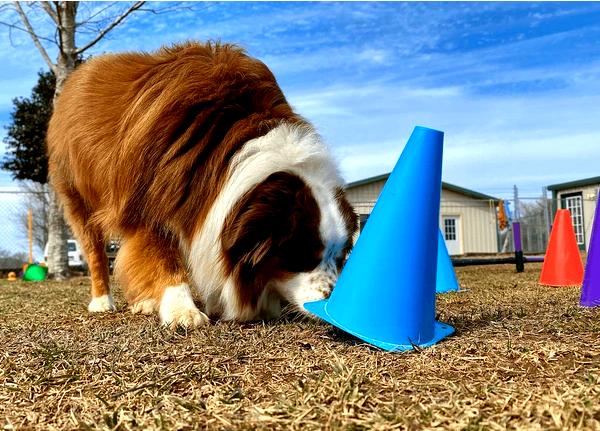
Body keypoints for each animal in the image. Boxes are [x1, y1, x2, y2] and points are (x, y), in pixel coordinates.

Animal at [48, 42, 356, 330]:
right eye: (300, 254)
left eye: (340, 256)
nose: (332, 307)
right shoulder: (147, 199)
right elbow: (162, 257)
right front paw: (182, 310)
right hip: (77, 195)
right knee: (96, 252)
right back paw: (102, 301)